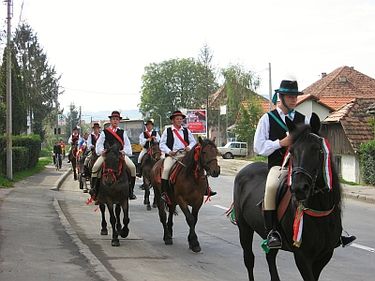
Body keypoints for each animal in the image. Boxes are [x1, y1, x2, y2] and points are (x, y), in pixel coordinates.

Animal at [235, 114, 344, 280]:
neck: (320, 211)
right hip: (244, 228)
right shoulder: (303, 257)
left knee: (270, 258)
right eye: (291, 151)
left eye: (317, 149)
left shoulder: (324, 256)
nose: (299, 188)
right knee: (249, 259)